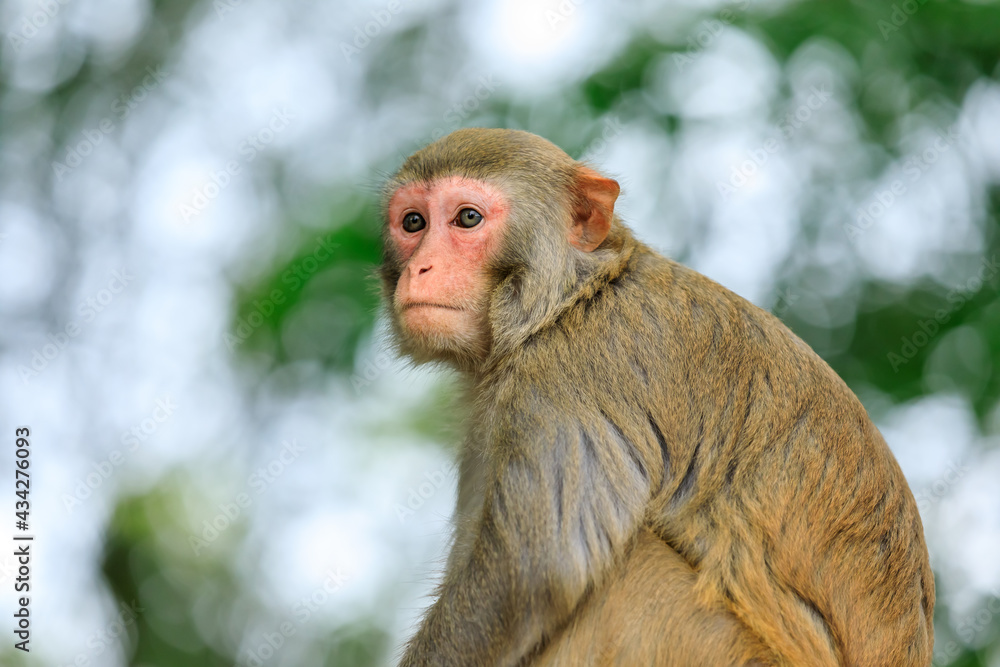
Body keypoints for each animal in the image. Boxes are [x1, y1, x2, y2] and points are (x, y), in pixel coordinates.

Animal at [378, 128, 932, 664]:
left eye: (467, 218)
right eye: (413, 223)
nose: (420, 269)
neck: (568, 300)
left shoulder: (567, 374)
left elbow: (529, 575)